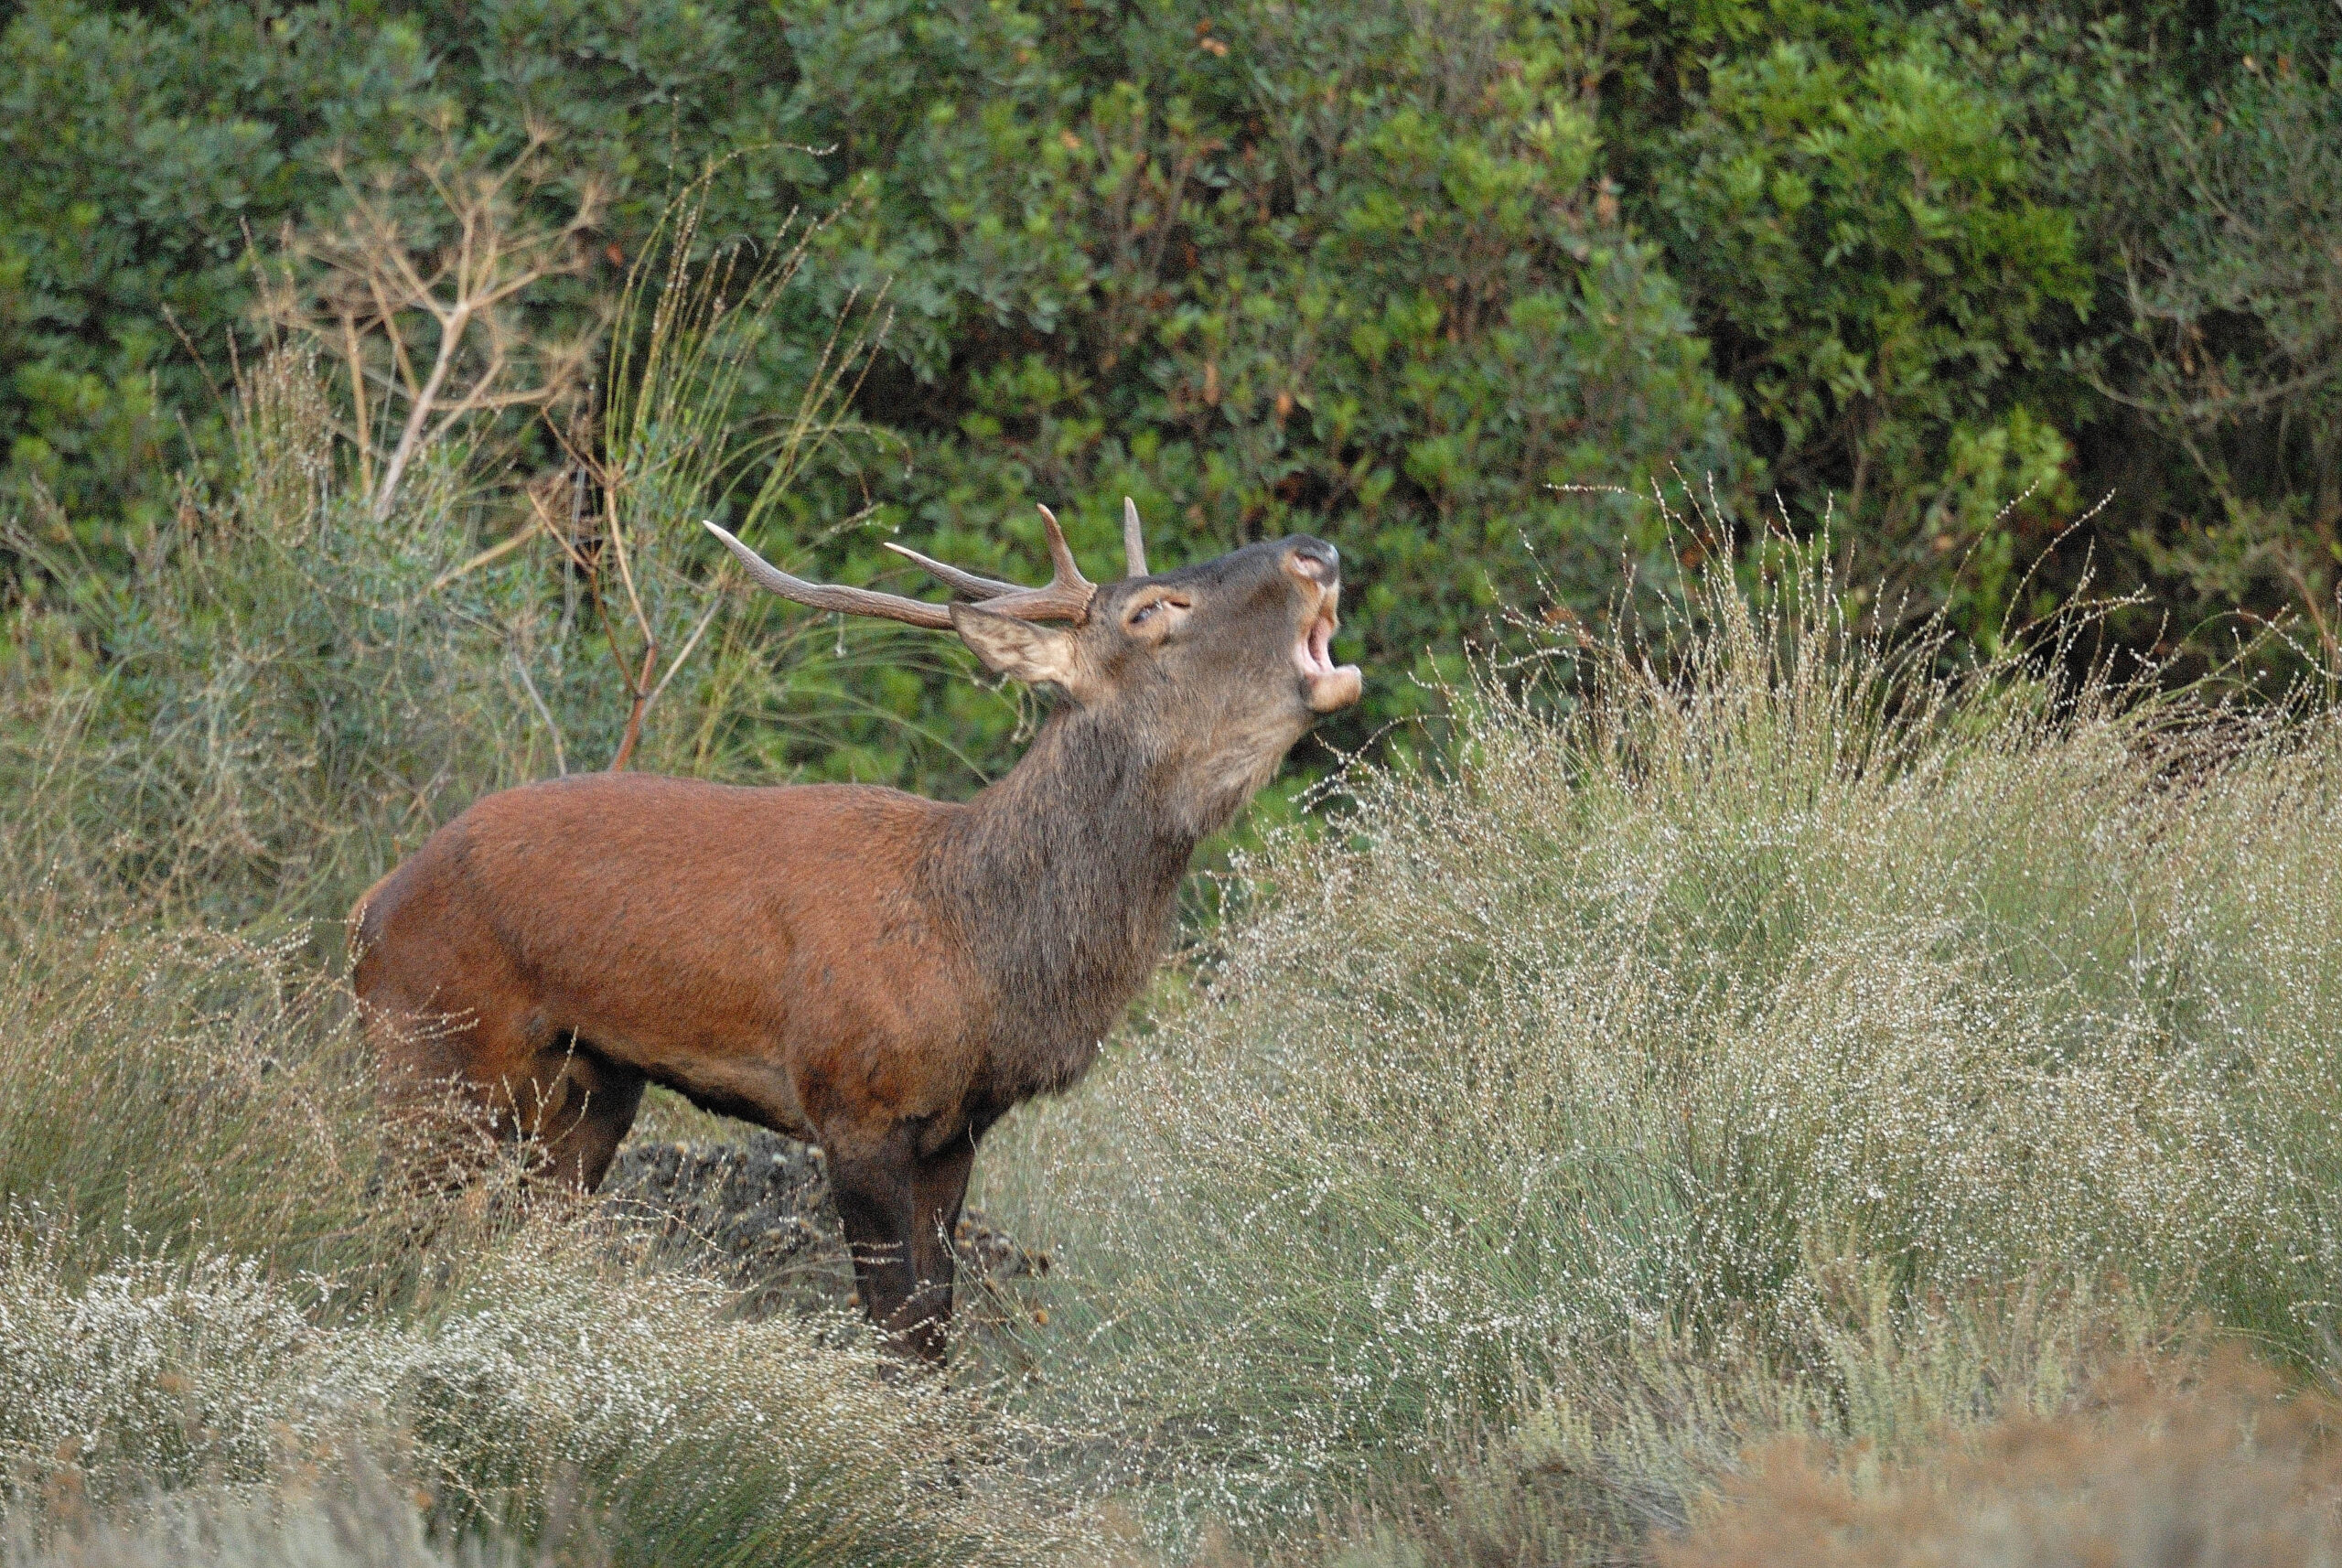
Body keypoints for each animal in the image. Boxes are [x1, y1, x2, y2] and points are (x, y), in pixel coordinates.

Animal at [349, 501, 1361, 1358]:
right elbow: (895, 1331)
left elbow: (936, 1328)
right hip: (430, 1055)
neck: (981, 955)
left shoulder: (956, 1132)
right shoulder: (854, 1102)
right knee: (388, 1227)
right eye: (1151, 609)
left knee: (522, 1234)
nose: (1317, 549)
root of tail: (370, 906)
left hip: (592, 1084)